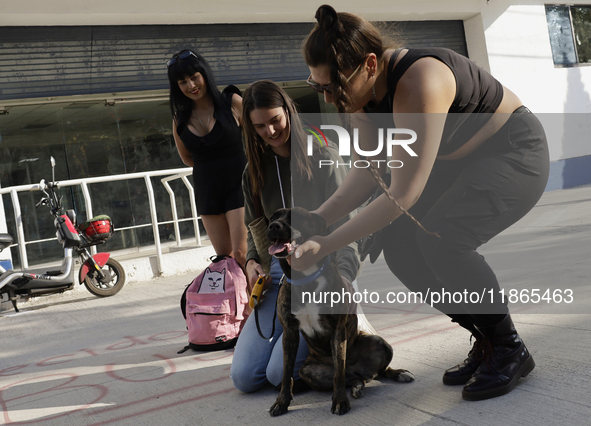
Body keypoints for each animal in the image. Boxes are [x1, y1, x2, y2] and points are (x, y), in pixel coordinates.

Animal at [266, 207, 414, 416]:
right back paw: (358, 385)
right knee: (353, 378)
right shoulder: (290, 333)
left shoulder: (337, 330)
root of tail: (358, 370)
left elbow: (338, 373)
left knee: (374, 371)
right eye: (272, 217)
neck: (306, 279)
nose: (273, 226)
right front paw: (282, 402)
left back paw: (399, 373)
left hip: (380, 343)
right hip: (309, 370)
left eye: (298, 216)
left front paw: (339, 401)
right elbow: (287, 374)